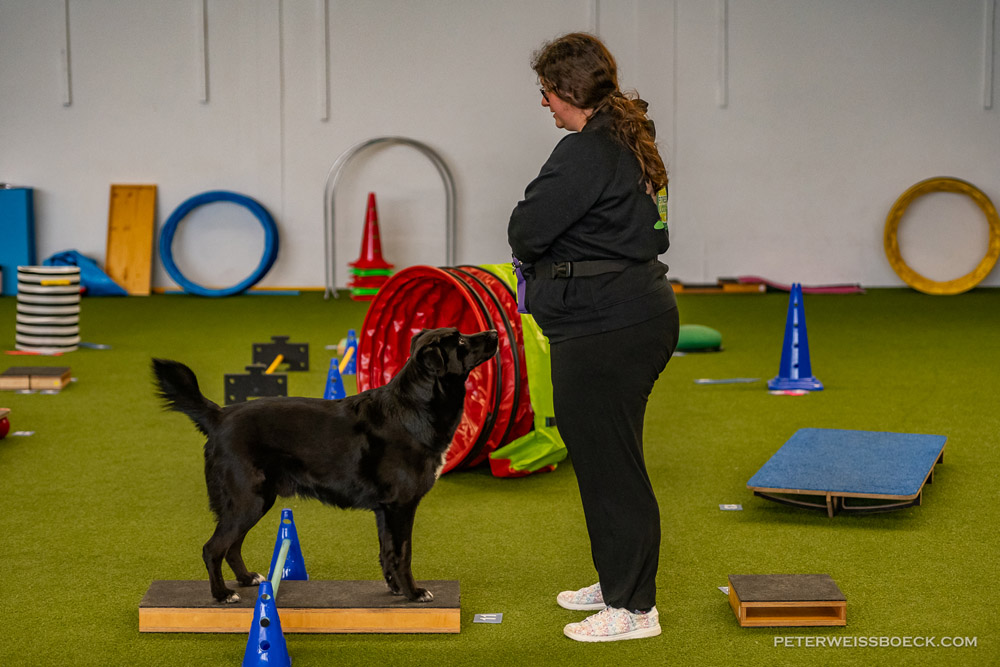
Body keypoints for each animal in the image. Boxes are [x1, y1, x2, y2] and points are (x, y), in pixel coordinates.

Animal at [151, 327, 498, 604]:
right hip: (247, 500)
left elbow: (387, 552)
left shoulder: (385, 509)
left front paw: (396, 589)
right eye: (462, 341)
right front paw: (413, 593)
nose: (495, 332)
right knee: (213, 548)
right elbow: (402, 554)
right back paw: (222, 594)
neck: (414, 407)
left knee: (232, 546)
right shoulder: (401, 506)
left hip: (257, 501)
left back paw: (248, 578)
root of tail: (220, 416)